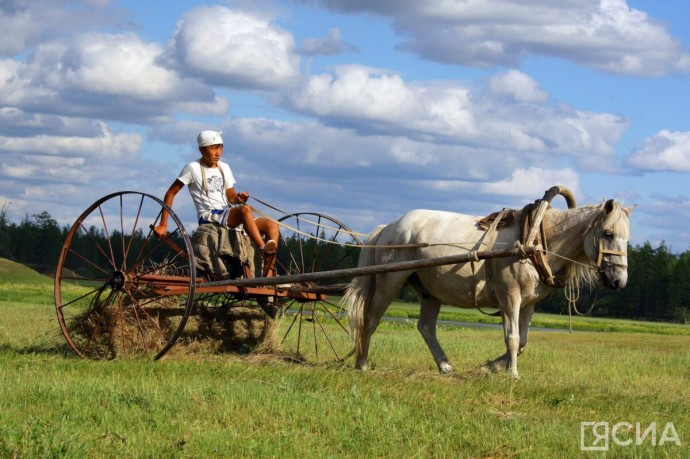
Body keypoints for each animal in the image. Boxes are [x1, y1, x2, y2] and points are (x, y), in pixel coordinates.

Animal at [344, 187, 628, 378]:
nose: (619, 280)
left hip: (429, 291)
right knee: (371, 319)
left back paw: (445, 365)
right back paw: (362, 363)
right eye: (607, 233)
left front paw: (491, 366)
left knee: (426, 327)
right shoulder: (510, 297)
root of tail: (387, 226)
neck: (536, 238)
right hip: (389, 280)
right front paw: (512, 374)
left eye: (626, 238)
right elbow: (512, 337)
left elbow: (523, 341)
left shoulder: (528, 304)